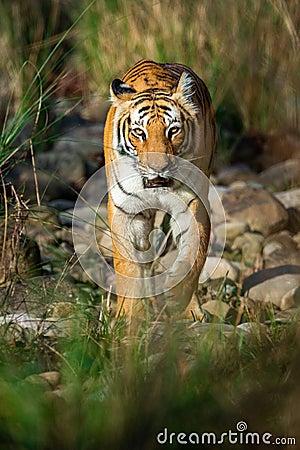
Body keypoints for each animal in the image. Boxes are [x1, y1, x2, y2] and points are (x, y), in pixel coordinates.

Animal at [103, 59, 216, 326]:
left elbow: (193, 254)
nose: (158, 167)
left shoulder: (192, 204)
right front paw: (129, 316)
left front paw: (177, 298)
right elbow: (128, 265)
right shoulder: (126, 210)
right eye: (139, 132)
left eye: (172, 130)